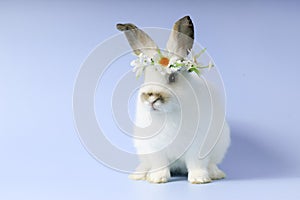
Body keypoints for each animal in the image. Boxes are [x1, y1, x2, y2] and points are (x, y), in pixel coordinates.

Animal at [116, 16, 230, 184]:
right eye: (146, 78)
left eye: (172, 77)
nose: (152, 98)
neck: (167, 113)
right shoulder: (155, 148)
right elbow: (160, 164)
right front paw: (157, 179)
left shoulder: (198, 146)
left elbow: (196, 163)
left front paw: (199, 179)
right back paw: (138, 175)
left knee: (211, 164)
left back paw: (215, 174)